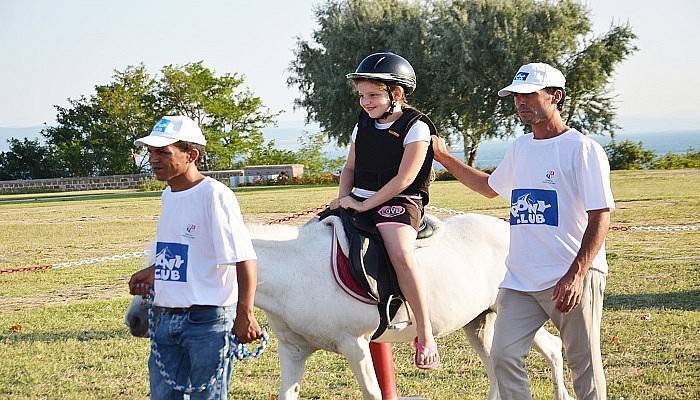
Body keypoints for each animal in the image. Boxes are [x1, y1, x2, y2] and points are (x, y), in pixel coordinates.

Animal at [127, 216, 576, 400]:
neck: (294, 271)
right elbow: (287, 393)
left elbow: (373, 392)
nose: (134, 320)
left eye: (171, 268)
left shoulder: (356, 346)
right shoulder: (294, 352)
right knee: (504, 363)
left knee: (551, 350)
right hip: (479, 322)